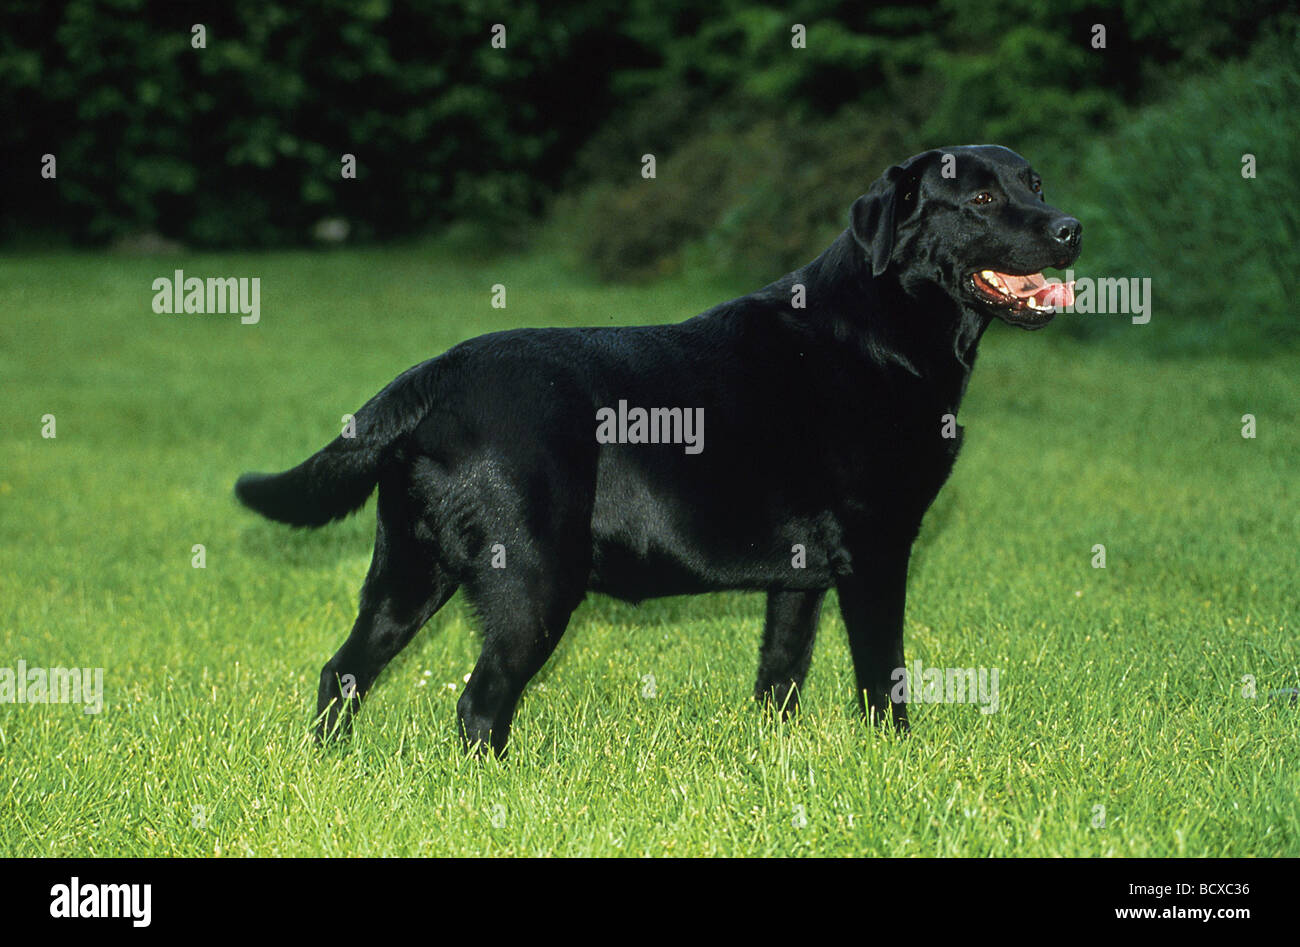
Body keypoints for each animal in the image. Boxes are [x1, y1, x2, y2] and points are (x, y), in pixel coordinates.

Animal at [233, 144, 1076, 749]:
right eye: (980, 198)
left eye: (1035, 182)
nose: (1070, 228)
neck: (886, 328)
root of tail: (437, 372)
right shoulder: (875, 549)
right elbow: (883, 675)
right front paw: (894, 757)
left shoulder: (801, 576)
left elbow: (781, 670)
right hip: (534, 580)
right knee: (478, 704)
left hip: (408, 571)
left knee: (343, 672)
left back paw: (331, 767)